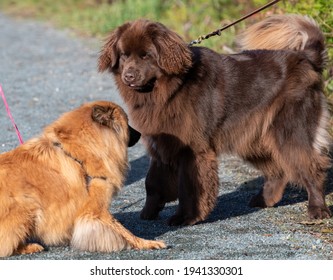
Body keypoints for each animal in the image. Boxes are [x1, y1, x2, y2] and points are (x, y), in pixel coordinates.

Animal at [0, 100, 165, 258]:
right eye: (127, 122)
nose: (140, 133)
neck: (81, 152)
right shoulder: (96, 209)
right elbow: (123, 231)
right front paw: (147, 243)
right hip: (28, 207)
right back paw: (29, 247)